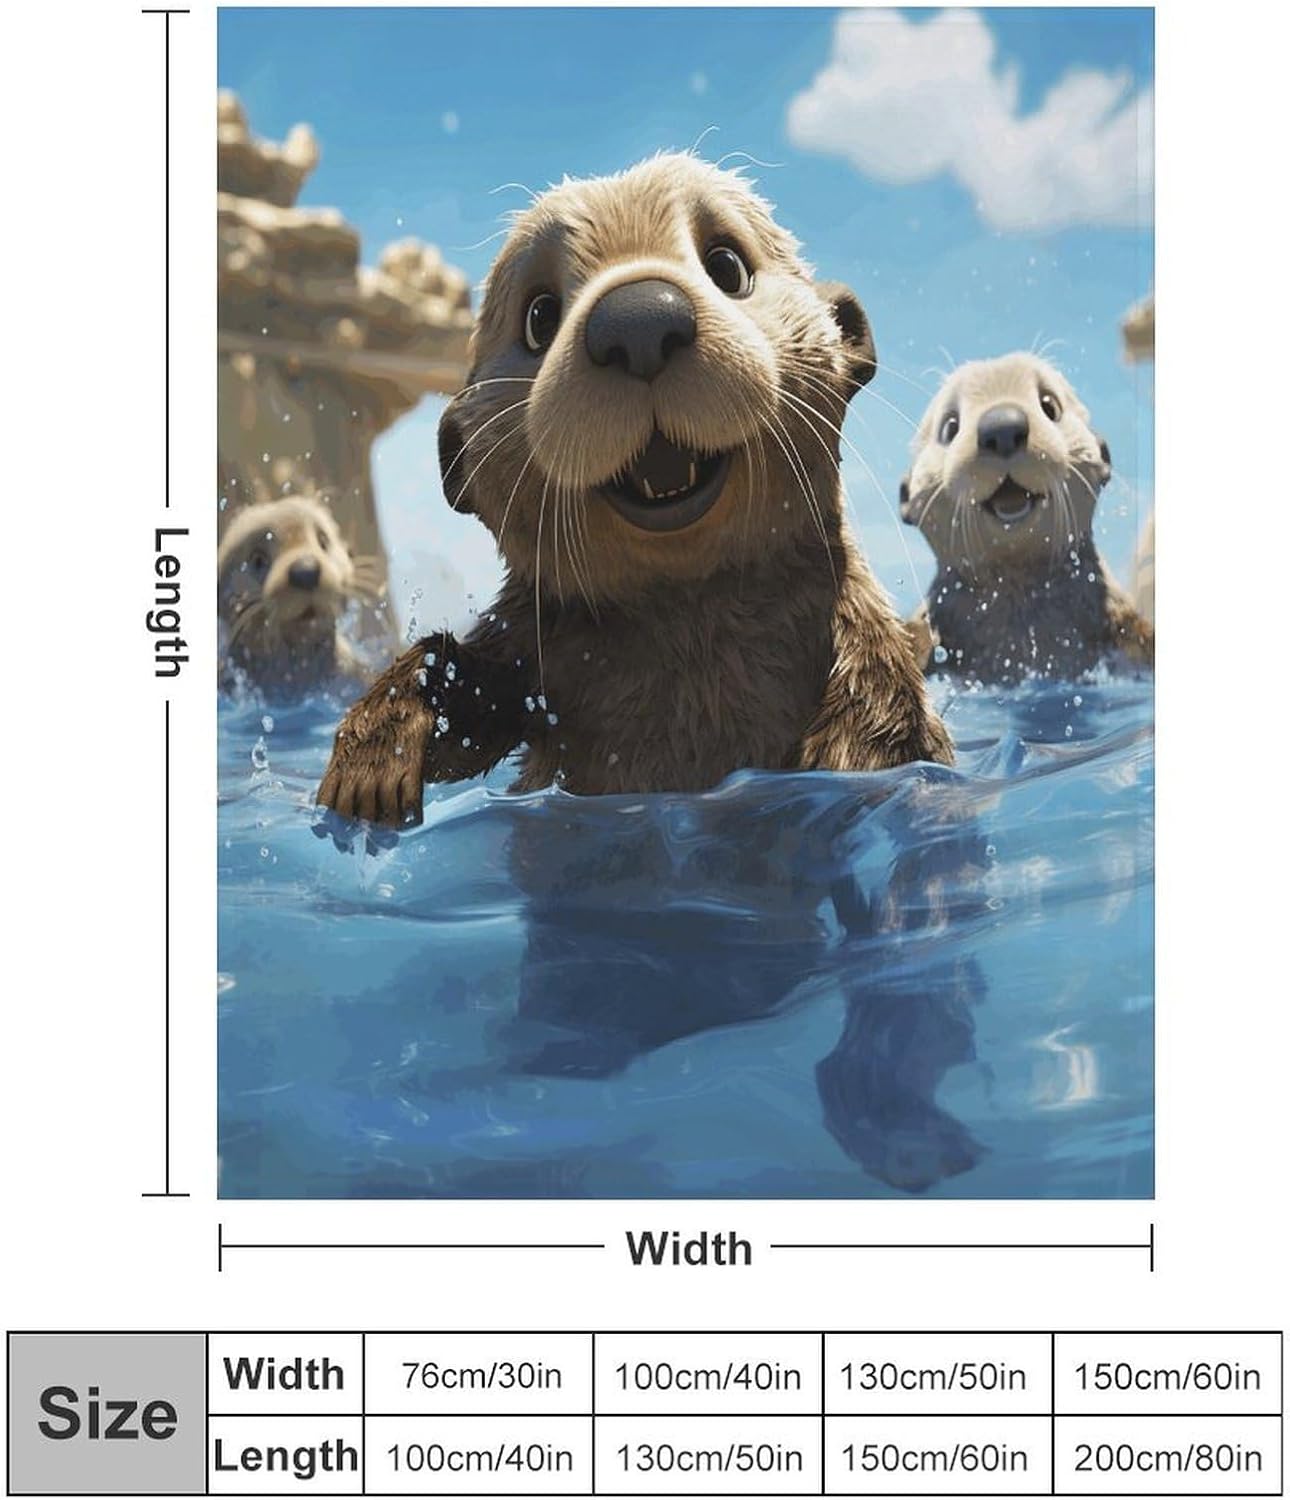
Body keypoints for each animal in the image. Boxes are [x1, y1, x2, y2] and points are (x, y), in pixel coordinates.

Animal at [315, 154, 951, 824]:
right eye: (539, 317)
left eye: (728, 266)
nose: (639, 322)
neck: (691, 623)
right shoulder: (529, 652)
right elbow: (461, 693)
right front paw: (370, 766)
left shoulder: (860, 641)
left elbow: (883, 727)